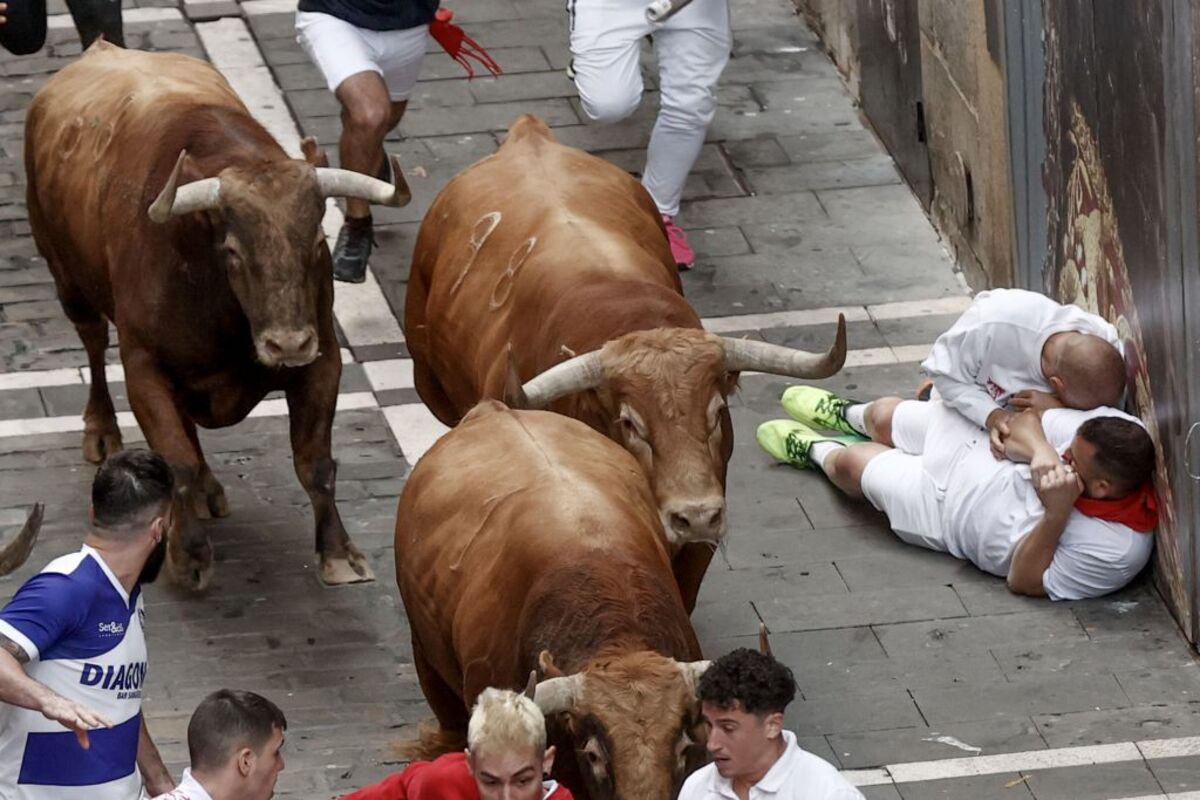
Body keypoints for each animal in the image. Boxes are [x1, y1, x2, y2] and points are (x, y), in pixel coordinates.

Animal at [25, 43, 410, 592]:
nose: (286, 345)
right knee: (94, 343)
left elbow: (315, 462)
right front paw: (188, 554)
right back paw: (100, 430)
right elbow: (176, 463)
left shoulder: (323, 359)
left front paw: (339, 553)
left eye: (318, 241)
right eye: (232, 251)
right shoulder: (144, 368)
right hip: (67, 279)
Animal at [405, 115, 844, 609]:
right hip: (429, 383)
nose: (696, 515)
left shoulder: (702, 536)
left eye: (716, 412)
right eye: (630, 423)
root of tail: (529, 135)